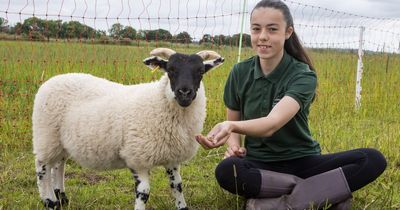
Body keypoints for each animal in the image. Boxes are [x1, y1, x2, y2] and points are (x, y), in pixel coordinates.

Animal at [31, 48, 225, 210]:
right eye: (170, 70)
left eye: (200, 71)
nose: (184, 93)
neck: (159, 102)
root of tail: (53, 79)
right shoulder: (137, 157)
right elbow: (144, 192)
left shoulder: (172, 158)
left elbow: (177, 186)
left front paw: (182, 206)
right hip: (46, 135)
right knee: (43, 168)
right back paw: (50, 201)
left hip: (61, 141)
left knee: (59, 165)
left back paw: (61, 197)